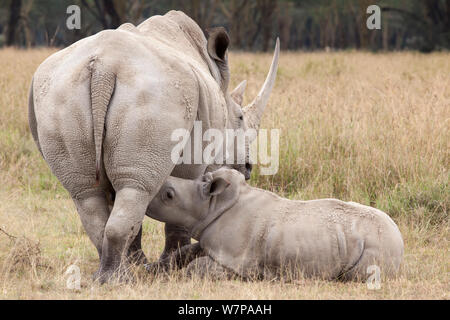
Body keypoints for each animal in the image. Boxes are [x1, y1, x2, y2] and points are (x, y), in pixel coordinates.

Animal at [148, 168, 404, 280]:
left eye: (169, 195)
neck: (210, 207)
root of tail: (400, 239)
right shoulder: (210, 242)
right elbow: (186, 252)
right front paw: (154, 269)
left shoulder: (238, 259)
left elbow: (206, 270)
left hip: (379, 242)